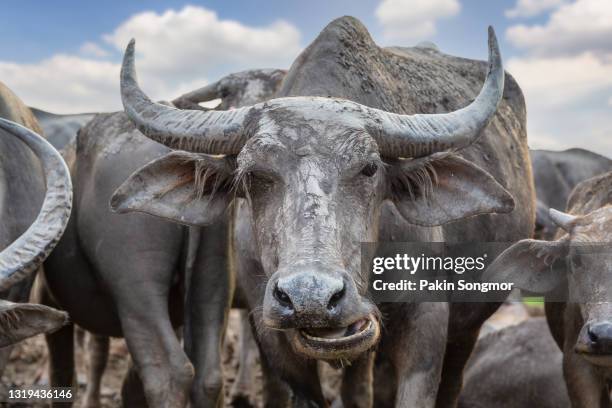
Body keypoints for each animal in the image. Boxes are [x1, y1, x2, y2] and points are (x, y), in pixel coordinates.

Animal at [113, 16, 536, 408]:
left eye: (370, 168)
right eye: (252, 175)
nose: (311, 298)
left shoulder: (426, 329)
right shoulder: (273, 338)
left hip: (469, 327)